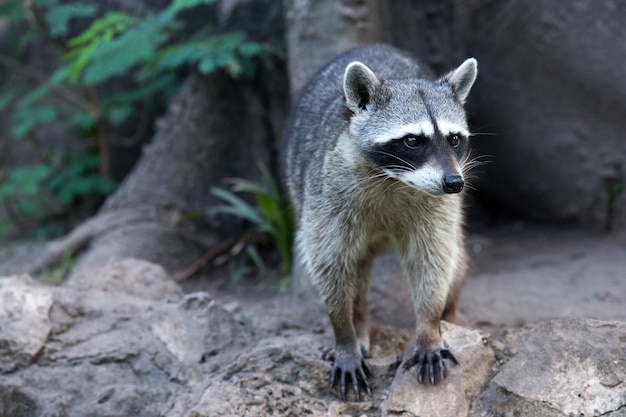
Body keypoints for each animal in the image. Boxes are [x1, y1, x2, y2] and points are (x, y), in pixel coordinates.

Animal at [282, 44, 478, 398]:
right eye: (413, 141)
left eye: (454, 139)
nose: (455, 183)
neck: (394, 178)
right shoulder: (327, 198)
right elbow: (329, 264)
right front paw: (344, 333)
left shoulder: (437, 208)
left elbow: (434, 259)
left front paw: (429, 326)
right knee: (355, 269)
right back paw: (358, 322)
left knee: (456, 260)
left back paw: (449, 314)